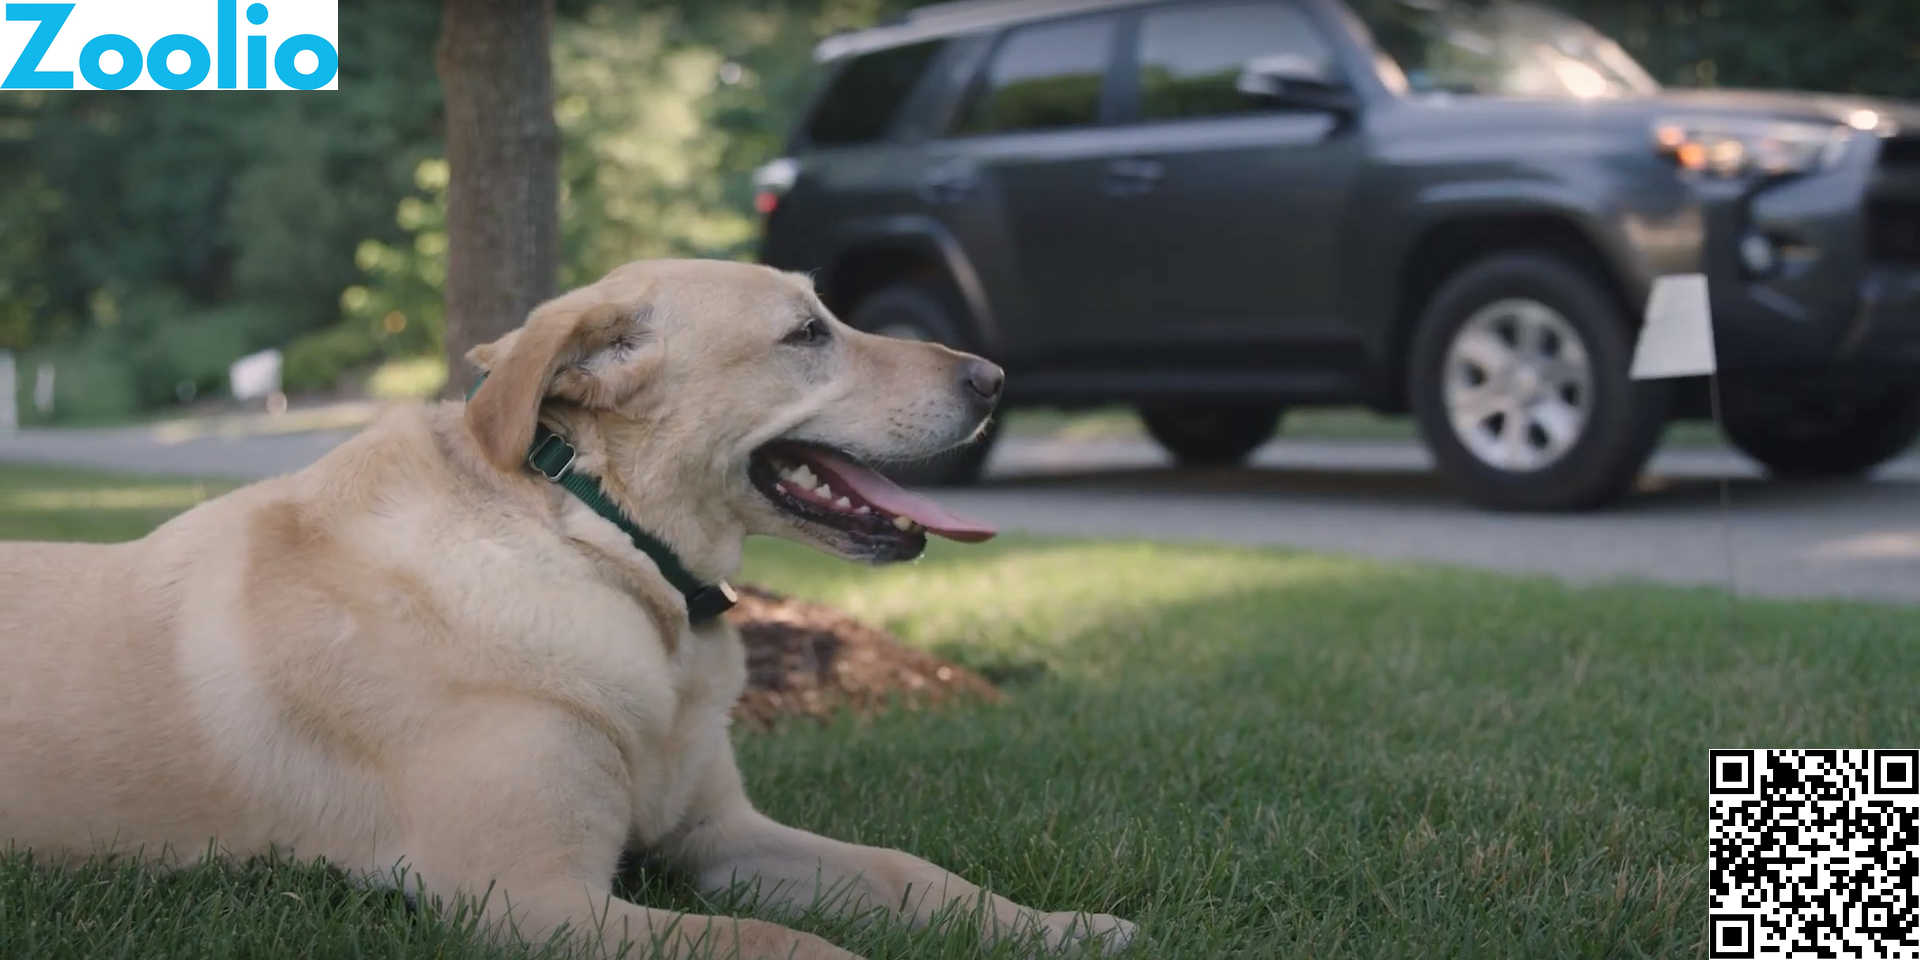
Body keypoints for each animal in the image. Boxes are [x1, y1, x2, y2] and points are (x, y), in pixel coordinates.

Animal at [0, 259, 1128, 956]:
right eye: (808, 334)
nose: (995, 376)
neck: (603, 548)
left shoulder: (717, 836)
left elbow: (911, 874)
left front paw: (1056, 927)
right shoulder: (538, 902)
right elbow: (786, 943)